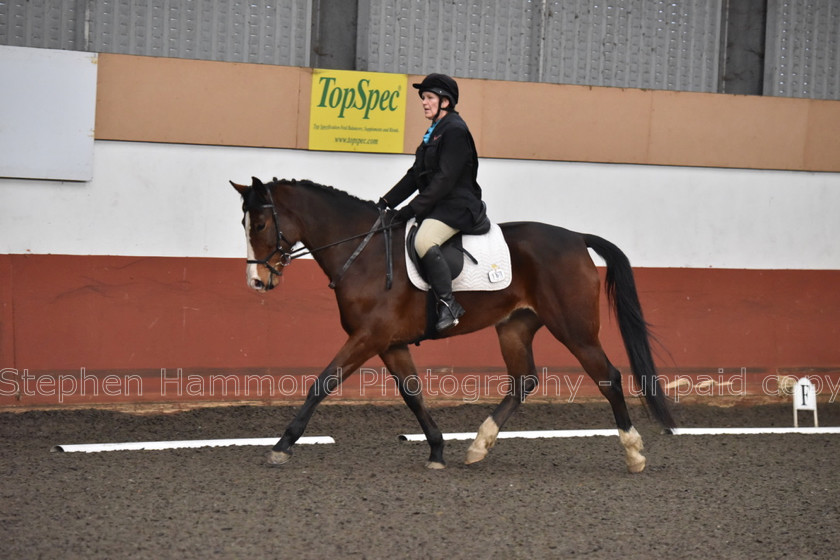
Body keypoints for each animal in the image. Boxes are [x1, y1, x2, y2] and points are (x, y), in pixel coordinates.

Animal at [231, 176, 676, 472]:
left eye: (260, 225)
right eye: (245, 225)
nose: (256, 282)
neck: (363, 251)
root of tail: (576, 238)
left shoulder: (369, 336)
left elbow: (322, 383)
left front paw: (282, 445)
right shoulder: (389, 342)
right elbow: (412, 394)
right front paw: (437, 449)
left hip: (574, 329)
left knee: (608, 377)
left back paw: (634, 452)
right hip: (515, 326)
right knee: (523, 381)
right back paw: (478, 446)